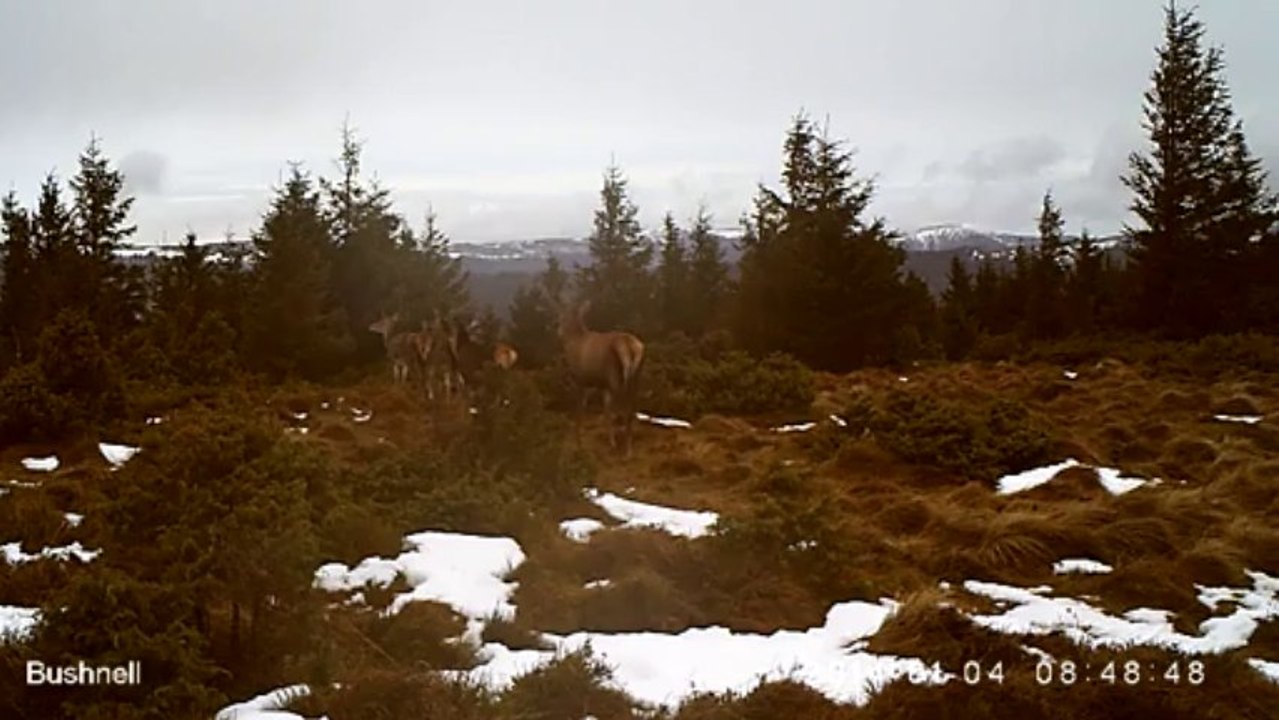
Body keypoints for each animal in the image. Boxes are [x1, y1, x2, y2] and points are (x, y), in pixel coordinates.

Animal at [555, 299, 644, 457]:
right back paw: (628, 445)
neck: (572, 343)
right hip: (636, 378)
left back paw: (625, 450)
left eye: (562, 316)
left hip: (616, 377)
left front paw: (578, 443)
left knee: (624, 410)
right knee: (631, 409)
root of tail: (631, 348)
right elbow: (606, 411)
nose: (558, 330)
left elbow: (580, 410)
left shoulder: (580, 379)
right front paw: (610, 441)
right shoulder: (603, 386)